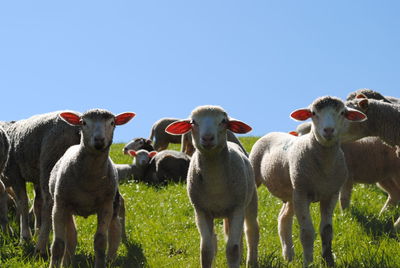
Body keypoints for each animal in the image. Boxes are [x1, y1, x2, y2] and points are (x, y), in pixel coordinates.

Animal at [0, 111, 80, 243]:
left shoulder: (15, 173)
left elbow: (23, 202)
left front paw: (25, 236)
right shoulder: (36, 178)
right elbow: (37, 204)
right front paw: (35, 230)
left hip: (49, 163)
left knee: (49, 202)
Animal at [47, 109, 135, 268]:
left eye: (112, 123)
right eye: (83, 122)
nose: (99, 141)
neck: (89, 181)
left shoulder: (106, 206)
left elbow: (100, 241)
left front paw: (101, 263)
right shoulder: (59, 205)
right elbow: (58, 244)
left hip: (114, 203)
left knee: (115, 231)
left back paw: (110, 260)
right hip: (67, 207)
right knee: (72, 235)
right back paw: (66, 262)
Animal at [166, 105, 260, 268]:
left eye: (223, 121)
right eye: (193, 122)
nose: (208, 138)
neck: (215, 184)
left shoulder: (237, 208)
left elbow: (232, 249)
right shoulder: (201, 210)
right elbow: (206, 249)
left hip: (250, 200)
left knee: (251, 230)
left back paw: (251, 262)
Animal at [250, 96, 368, 266]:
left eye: (342, 113)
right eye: (313, 113)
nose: (328, 130)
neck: (324, 167)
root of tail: (273, 132)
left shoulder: (331, 194)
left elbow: (326, 231)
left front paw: (328, 261)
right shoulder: (302, 193)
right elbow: (307, 232)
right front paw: (308, 263)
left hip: (291, 192)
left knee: (284, 218)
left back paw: (288, 256)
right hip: (259, 172)